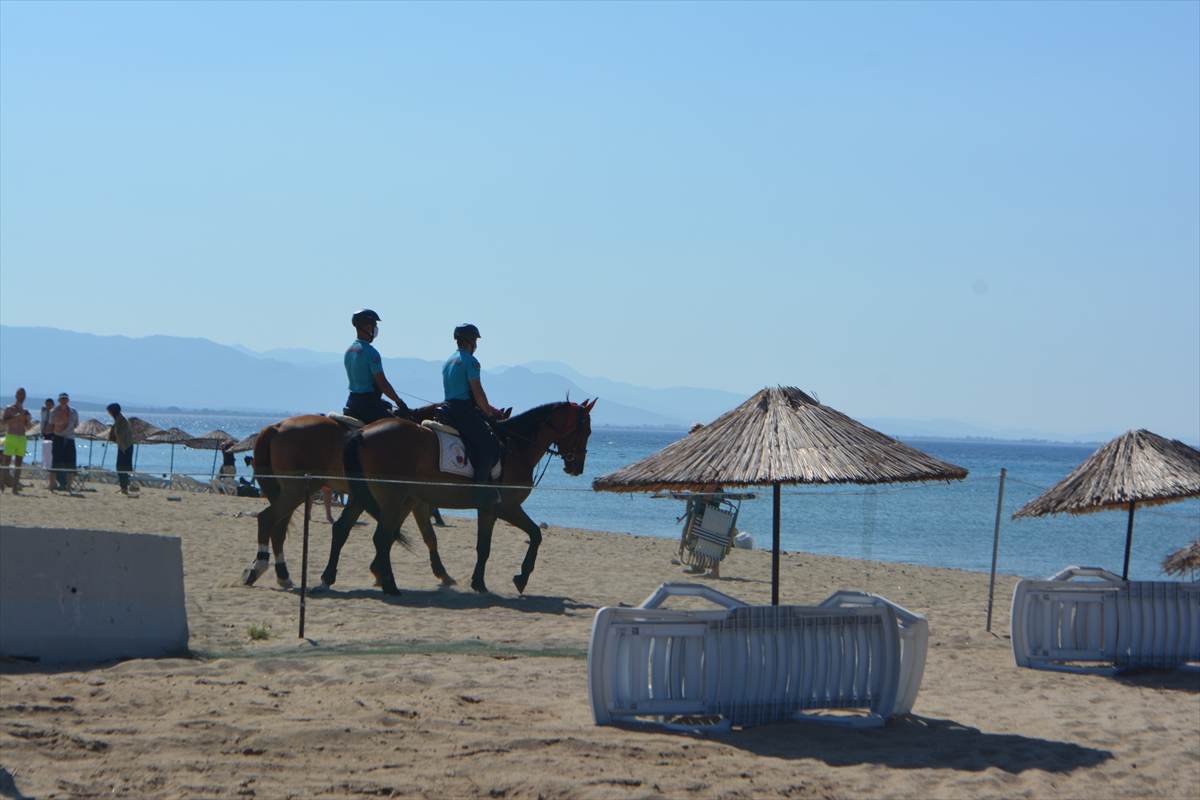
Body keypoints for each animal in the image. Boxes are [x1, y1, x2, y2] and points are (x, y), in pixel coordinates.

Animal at [240, 407, 446, 587]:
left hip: (290, 491)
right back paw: (261, 567)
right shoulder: (402, 496)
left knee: (279, 528)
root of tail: (277, 426)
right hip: (297, 489)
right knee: (268, 519)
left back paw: (281, 575)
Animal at [343, 398, 595, 594]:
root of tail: (362, 431)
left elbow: (492, 543)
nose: (577, 467)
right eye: (588, 431)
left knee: (358, 530)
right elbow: (527, 536)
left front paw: (479, 581)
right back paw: (389, 584)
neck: (516, 447)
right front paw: (516, 578)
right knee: (381, 536)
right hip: (393, 497)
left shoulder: (488, 509)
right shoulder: (504, 508)